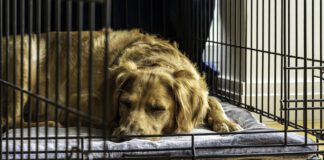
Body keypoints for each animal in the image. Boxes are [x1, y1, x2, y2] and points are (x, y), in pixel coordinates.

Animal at [1, 29, 242, 140]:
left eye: (158, 109)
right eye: (124, 103)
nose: (127, 135)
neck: (155, 60)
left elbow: (212, 99)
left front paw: (225, 121)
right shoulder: (79, 102)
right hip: (26, 56)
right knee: (11, 121)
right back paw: (49, 123)